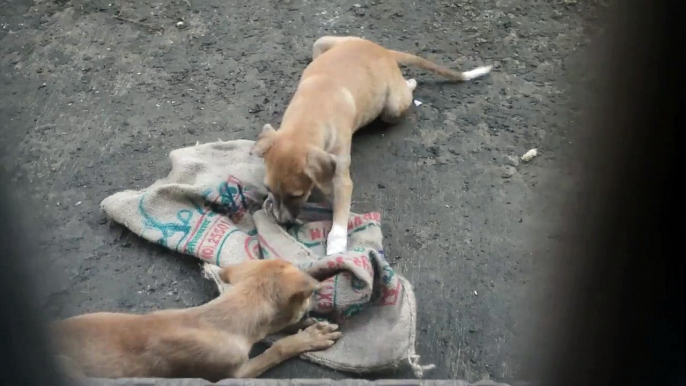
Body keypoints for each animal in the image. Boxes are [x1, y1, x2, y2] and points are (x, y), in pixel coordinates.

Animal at [52, 260, 342, 380]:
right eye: (307, 298)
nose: (312, 310)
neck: (219, 319)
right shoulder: (234, 374)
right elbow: (276, 350)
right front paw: (311, 337)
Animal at [253, 34, 494, 255]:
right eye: (268, 188)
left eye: (297, 195)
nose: (281, 222)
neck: (309, 114)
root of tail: (384, 50)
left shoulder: (341, 178)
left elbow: (340, 217)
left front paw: (336, 249)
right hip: (322, 42)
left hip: (393, 107)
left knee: (405, 92)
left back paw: (411, 82)